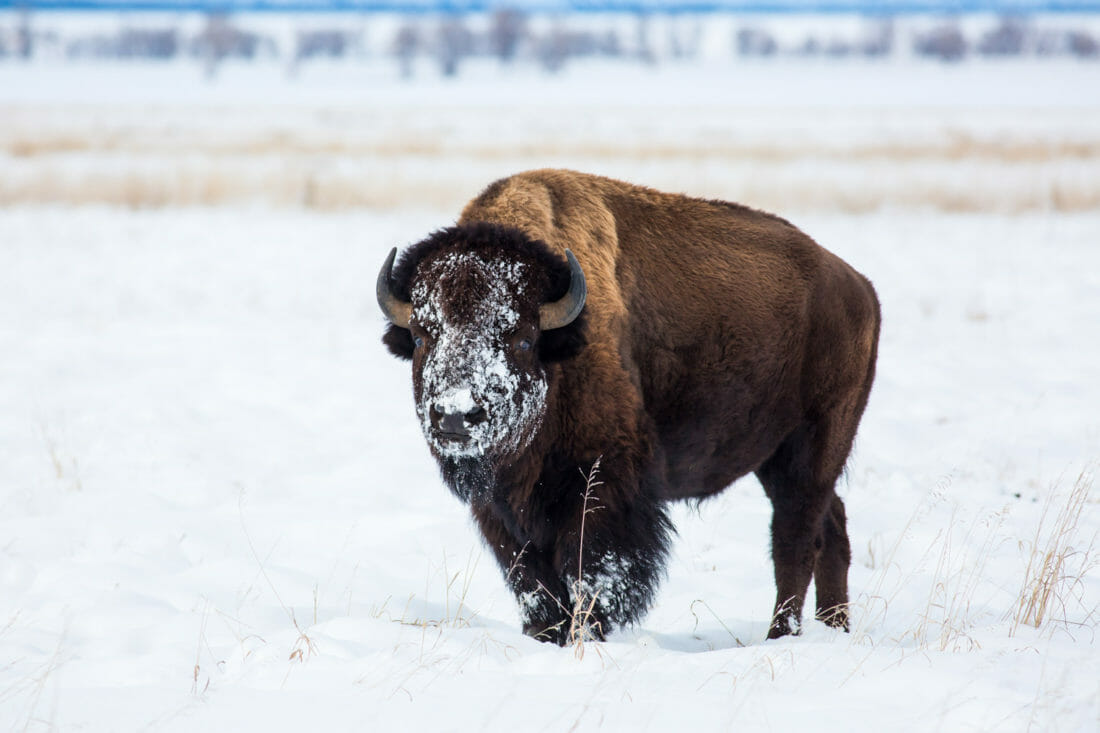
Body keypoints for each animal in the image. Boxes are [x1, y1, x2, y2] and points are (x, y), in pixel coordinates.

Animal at [374, 168, 880, 642]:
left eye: (521, 338)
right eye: (421, 335)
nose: (456, 415)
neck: (563, 345)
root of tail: (859, 287)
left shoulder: (601, 489)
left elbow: (591, 573)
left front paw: (588, 634)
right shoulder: (501, 511)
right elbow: (533, 582)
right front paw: (544, 636)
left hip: (813, 447)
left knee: (795, 538)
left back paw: (782, 634)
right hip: (777, 459)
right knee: (830, 526)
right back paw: (834, 627)